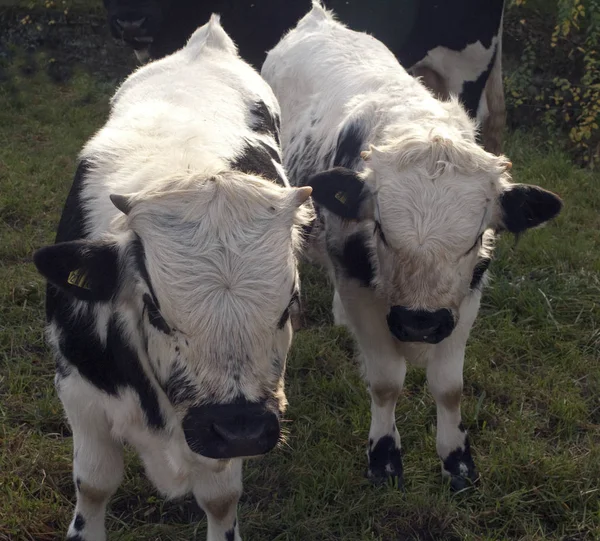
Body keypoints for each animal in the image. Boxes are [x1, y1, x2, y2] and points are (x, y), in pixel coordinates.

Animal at [32, 14, 314, 536]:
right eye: (156, 311)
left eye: (289, 306)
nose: (240, 427)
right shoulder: (78, 392)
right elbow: (94, 486)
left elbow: (221, 500)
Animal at [262, 4, 564, 492]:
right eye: (382, 230)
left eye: (475, 238)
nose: (420, 322)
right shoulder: (361, 290)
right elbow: (386, 382)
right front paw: (384, 459)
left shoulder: (465, 299)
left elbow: (449, 387)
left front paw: (458, 462)